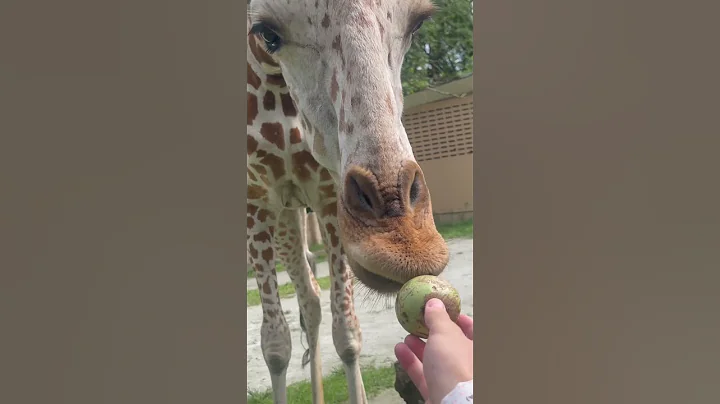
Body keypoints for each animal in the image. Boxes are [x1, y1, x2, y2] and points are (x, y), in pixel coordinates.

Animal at [246, 1, 449, 403]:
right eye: (267, 33)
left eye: (419, 22)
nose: (404, 243)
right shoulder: (256, 198)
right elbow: (274, 345)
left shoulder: (325, 192)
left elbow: (348, 335)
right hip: (283, 211)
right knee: (306, 299)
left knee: (310, 297)